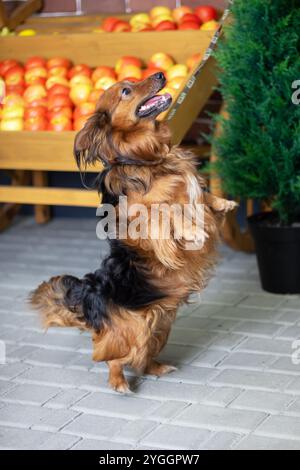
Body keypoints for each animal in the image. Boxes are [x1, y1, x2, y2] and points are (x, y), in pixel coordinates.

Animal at [30, 71, 237, 392]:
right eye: (126, 91)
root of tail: (91, 301)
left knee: (143, 357)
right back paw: (119, 383)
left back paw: (159, 367)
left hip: (160, 324)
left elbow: (201, 195)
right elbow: (168, 213)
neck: (150, 158)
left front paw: (223, 202)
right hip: (134, 329)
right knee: (113, 358)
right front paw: (192, 231)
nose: (161, 74)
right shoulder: (144, 220)